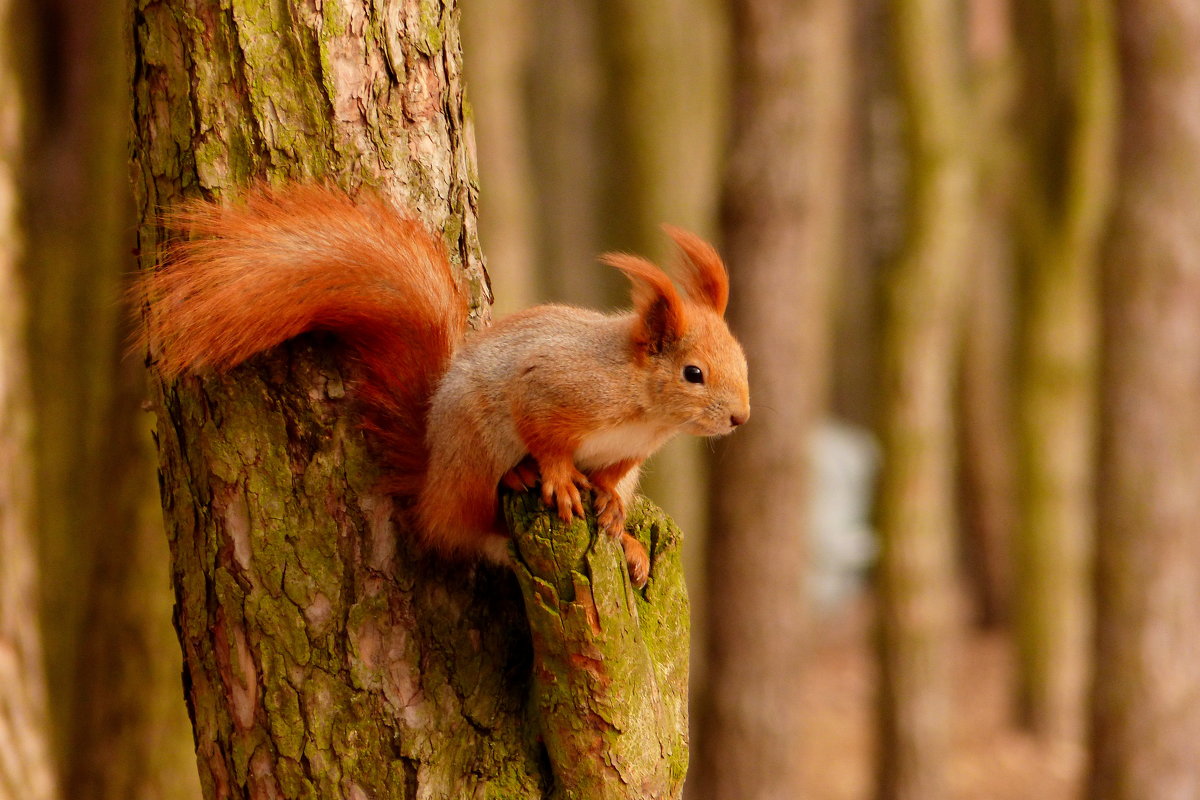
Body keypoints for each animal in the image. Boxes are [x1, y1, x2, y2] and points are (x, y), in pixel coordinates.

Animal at [138, 185, 748, 587]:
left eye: (743, 361)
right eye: (694, 373)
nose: (740, 417)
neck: (645, 412)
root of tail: (430, 483)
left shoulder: (627, 457)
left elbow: (611, 480)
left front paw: (615, 514)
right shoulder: (556, 389)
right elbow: (546, 436)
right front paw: (559, 480)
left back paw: (631, 548)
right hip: (473, 455)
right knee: (473, 524)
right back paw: (519, 480)